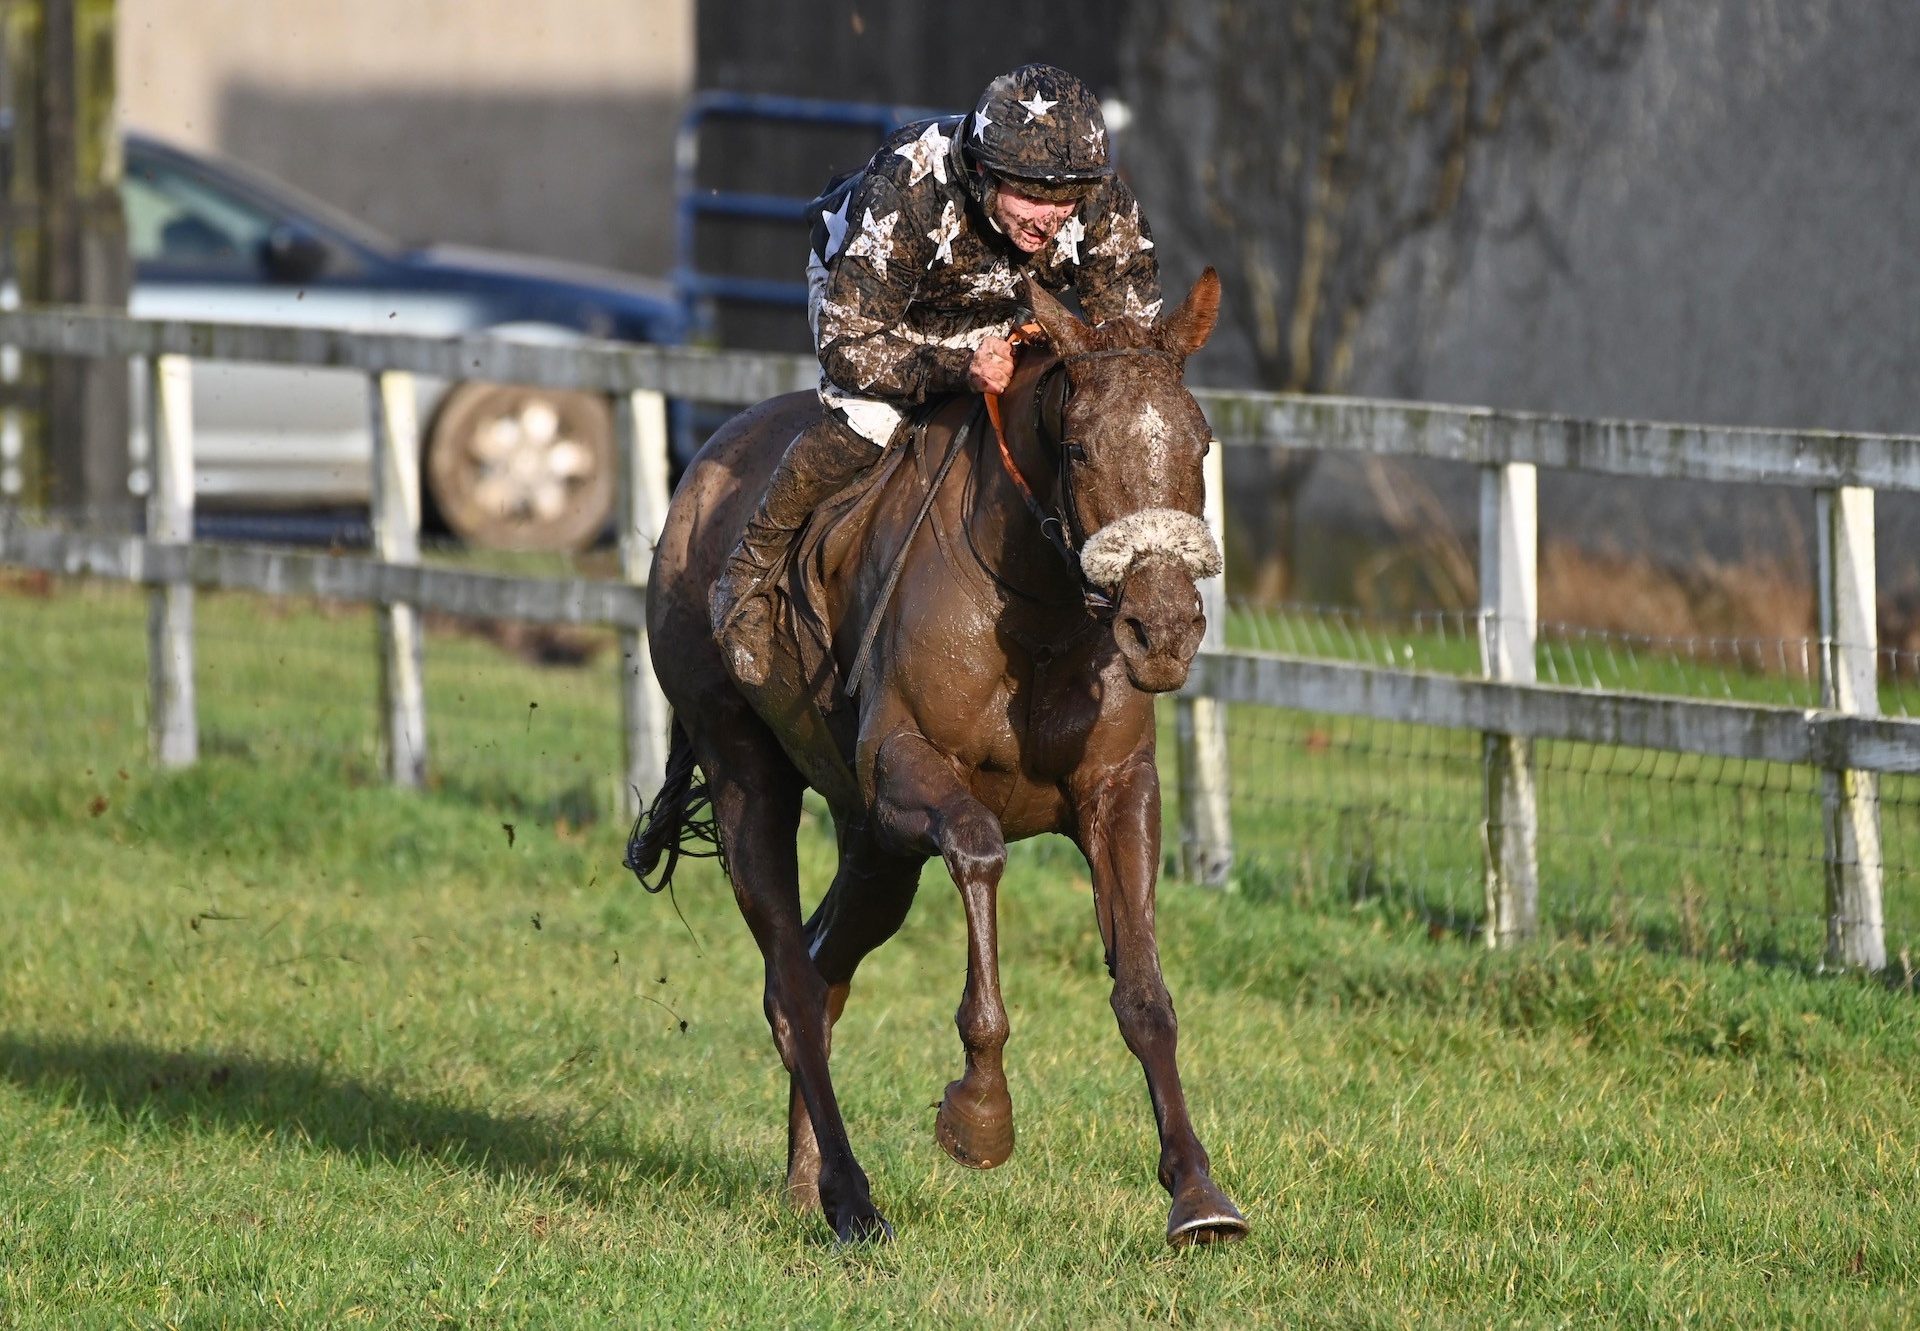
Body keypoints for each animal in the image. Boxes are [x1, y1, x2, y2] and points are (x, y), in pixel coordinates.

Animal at [629, 270, 1244, 1244]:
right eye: (1077, 447)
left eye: (1201, 440)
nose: (1164, 627)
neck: (1035, 608)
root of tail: (696, 478)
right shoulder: (901, 769)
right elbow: (981, 849)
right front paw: (980, 1114)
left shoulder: (1117, 789)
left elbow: (1145, 991)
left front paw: (1198, 1192)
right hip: (745, 770)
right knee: (792, 984)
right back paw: (850, 1195)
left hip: (874, 851)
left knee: (819, 971)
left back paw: (807, 1181)